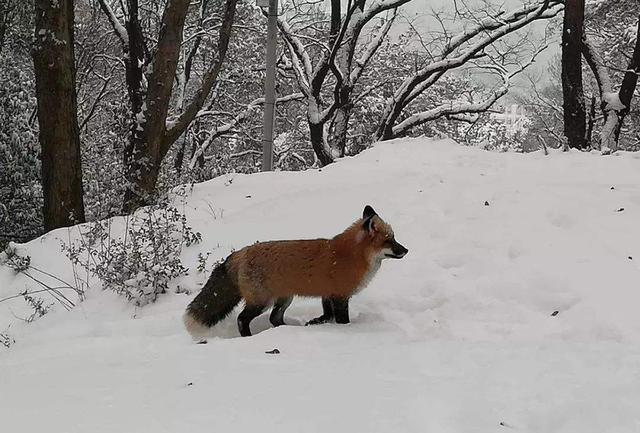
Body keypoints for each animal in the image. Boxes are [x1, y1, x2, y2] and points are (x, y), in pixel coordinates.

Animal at [182, 204, 408, 340]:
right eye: (390, 240)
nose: (406, 250)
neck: (351, 255)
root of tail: (240, 252)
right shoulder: (340, 296)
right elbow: (341, 318)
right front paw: (344, 329)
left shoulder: (327, 293)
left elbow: (327, 314)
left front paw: (317, 323)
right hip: (262, 301)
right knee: (242, 318)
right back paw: (248, 337)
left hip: (285, 298)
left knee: (275, 319)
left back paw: (288, 329)